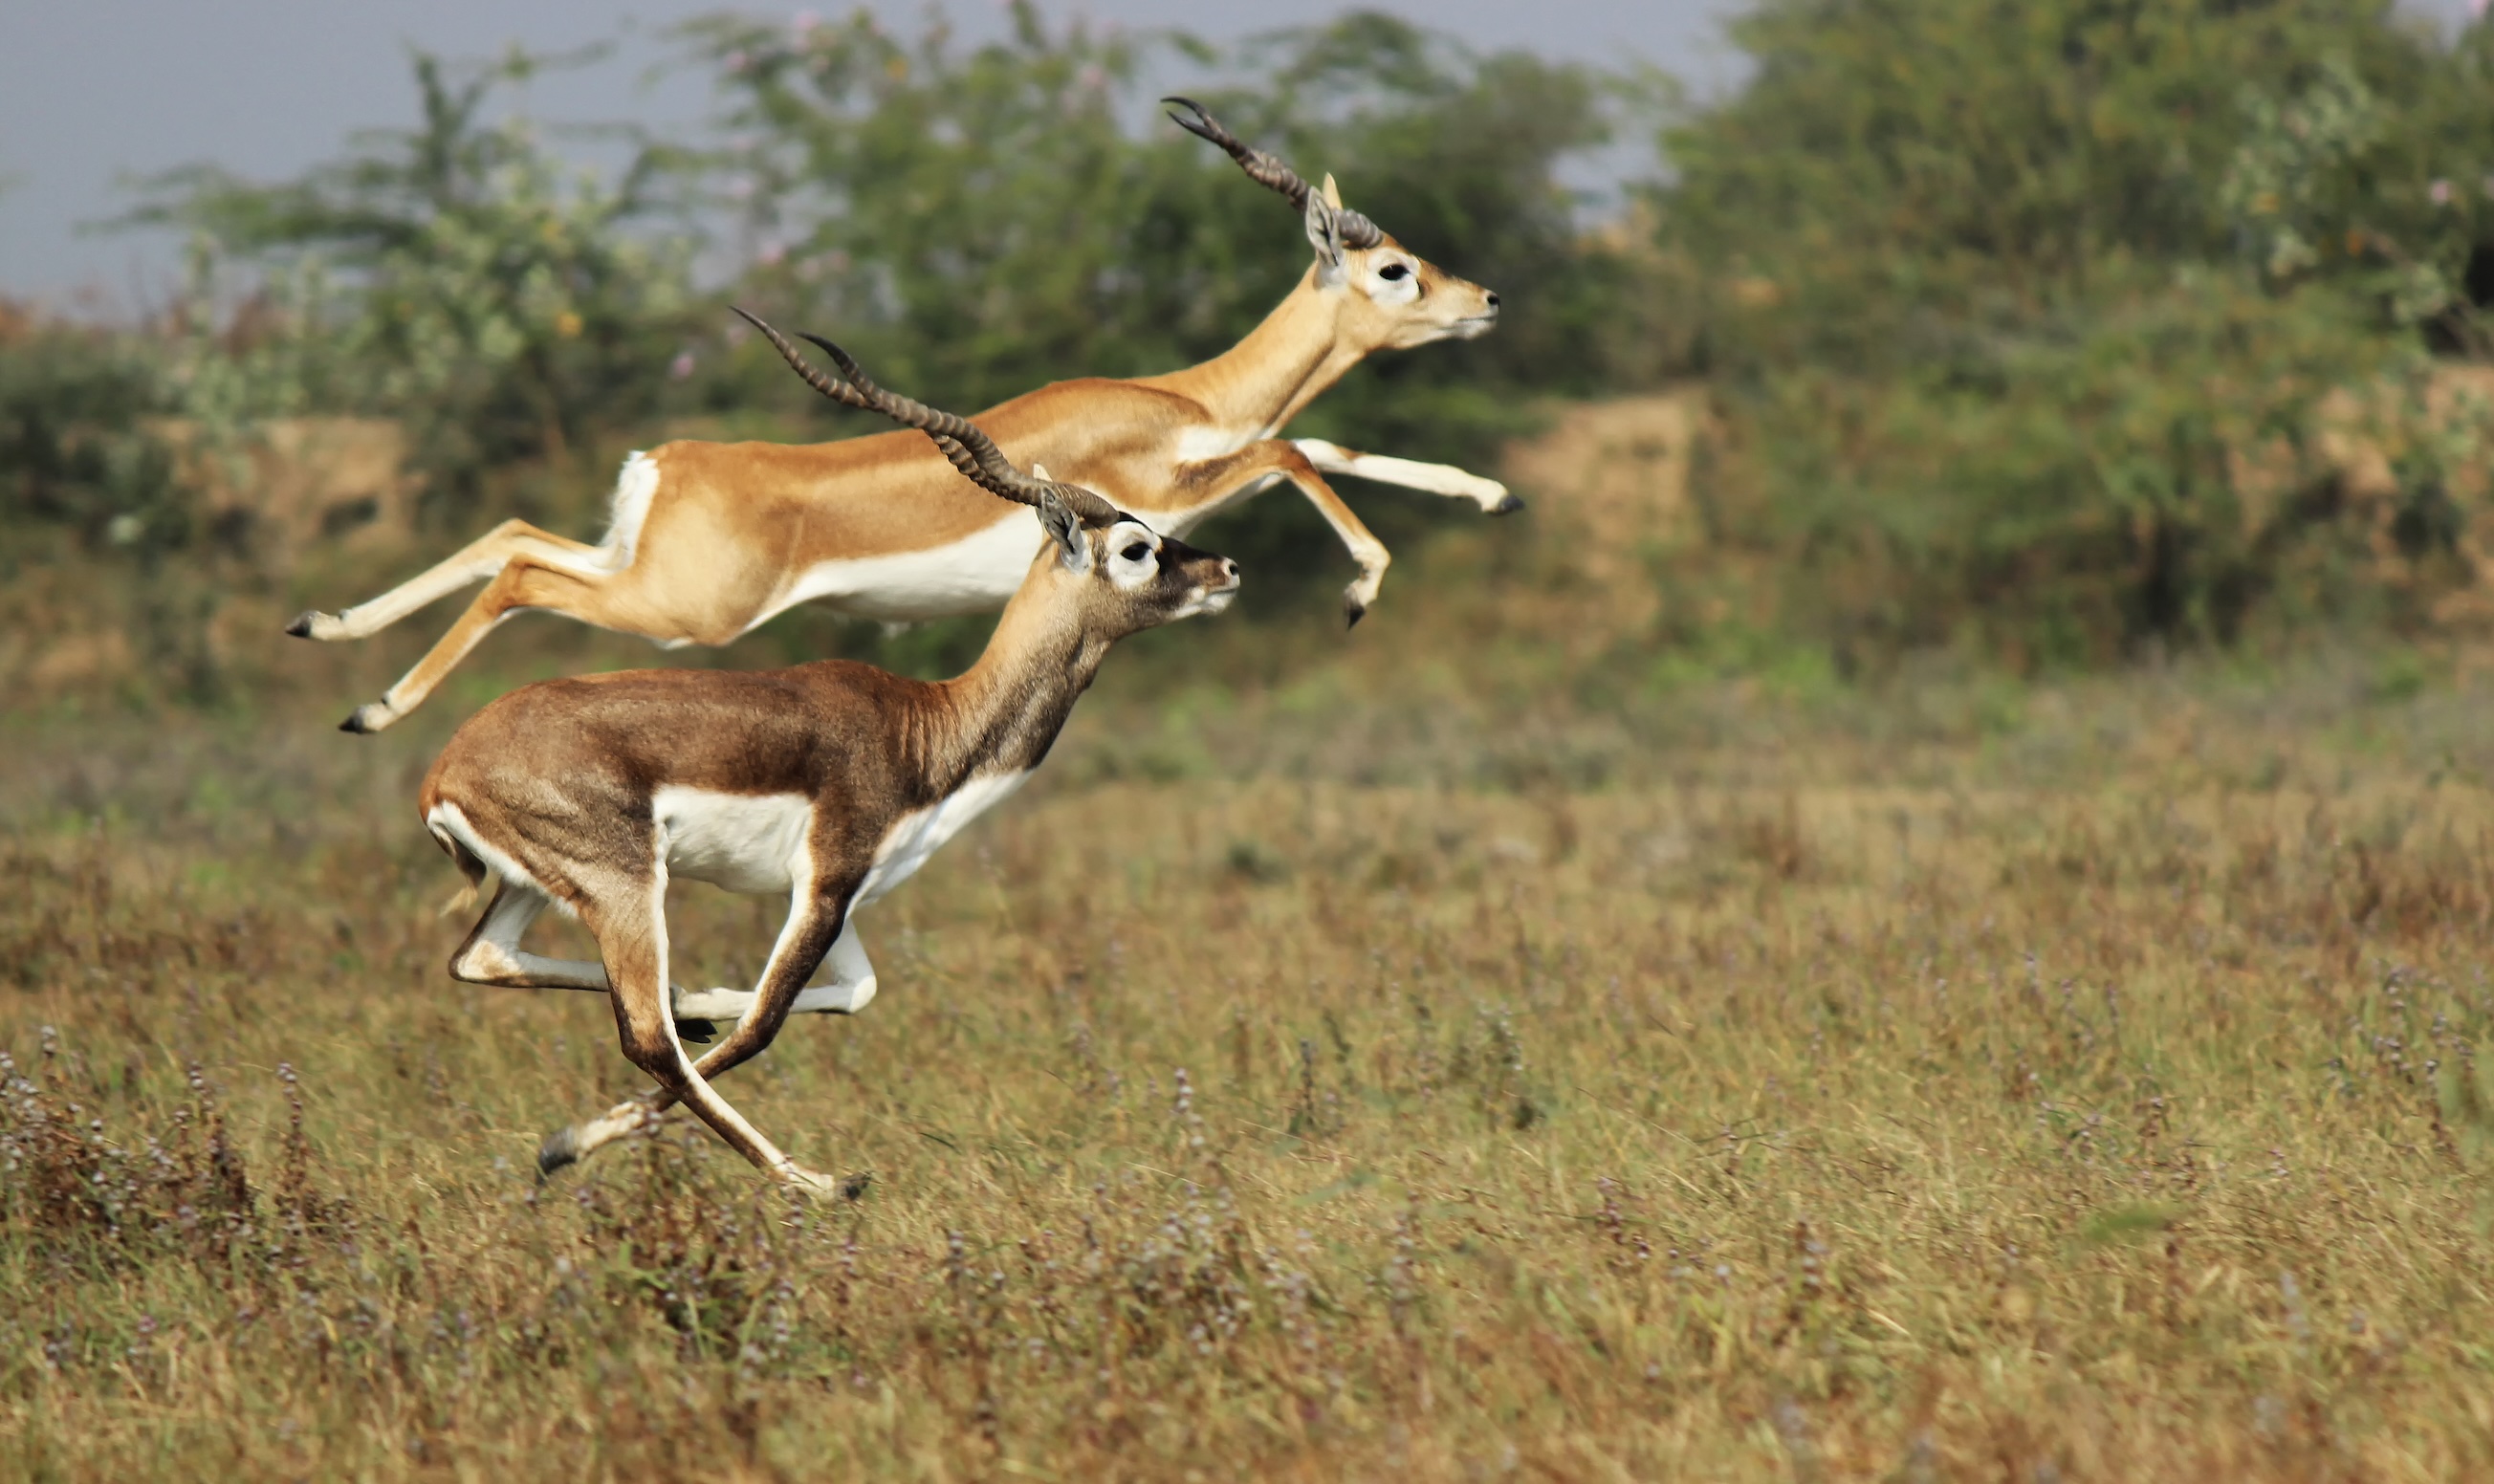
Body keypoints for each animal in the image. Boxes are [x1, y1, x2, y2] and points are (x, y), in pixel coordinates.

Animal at [285, 96, 1506, 732]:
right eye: (1394, 269)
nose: (1487, 300)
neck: (1184, 394)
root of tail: (669, 459)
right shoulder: (1165, 490)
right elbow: (1296, 446)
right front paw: (1360, 590)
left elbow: (1328, 441)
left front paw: (1491, 491)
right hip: (685, 614)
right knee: (518, 576)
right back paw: (372, 710)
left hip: (638, 570)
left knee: (510, 538)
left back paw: (327, 631)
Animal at [428, 329, 1247, 1197]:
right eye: (1136, 548)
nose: (1227, 570)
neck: (930, 729)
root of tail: (443, 772)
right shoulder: (826, 879)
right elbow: (764, 1021)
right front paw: (573, 1142)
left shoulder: (847, 897)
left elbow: (852, 992)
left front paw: (699, 1004)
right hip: (625, 885)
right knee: (648, 1038)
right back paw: (809, 1180)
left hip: (537, 886)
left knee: (484, 959)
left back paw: (679, 1017)